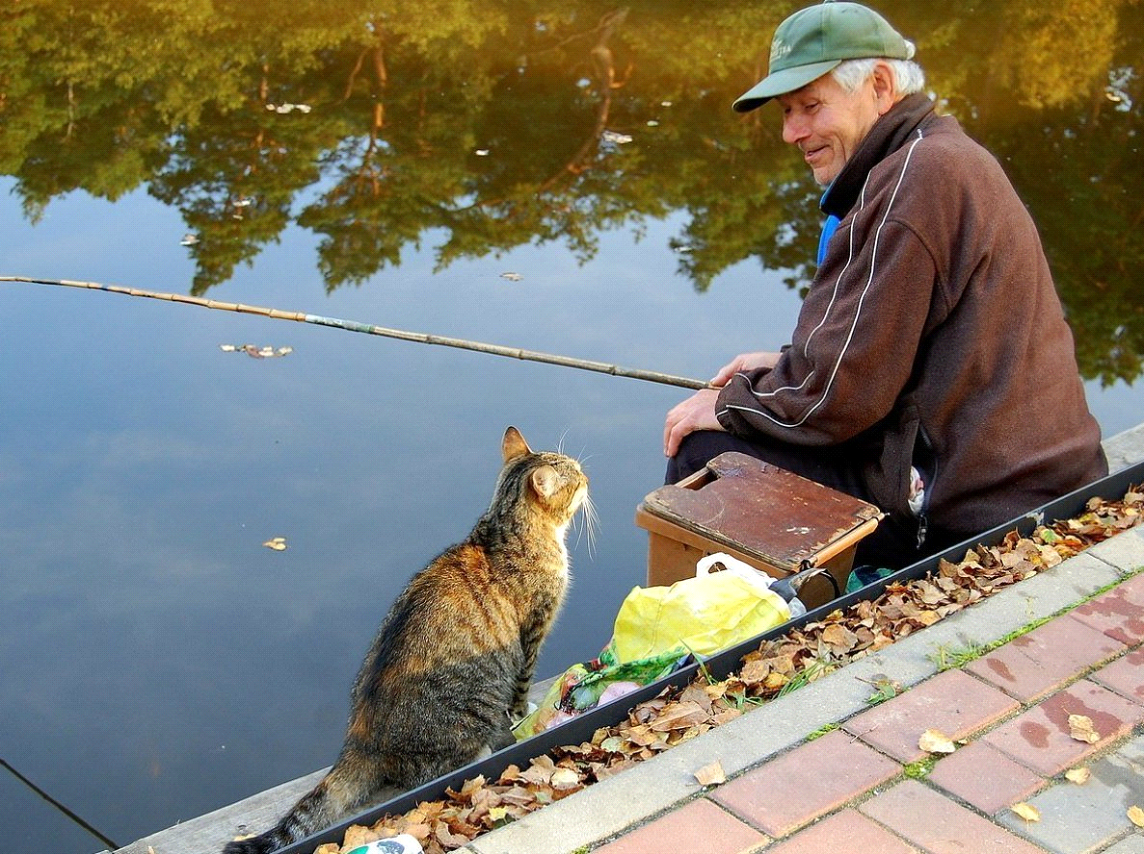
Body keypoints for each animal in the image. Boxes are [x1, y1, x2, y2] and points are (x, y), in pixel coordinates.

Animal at [227, 427, 594, 854]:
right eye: (576, 478)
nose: (589, 478)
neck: (503, 530)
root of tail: (360, 741)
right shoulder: (533, 631)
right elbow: (522, 688)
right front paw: (524, 712)